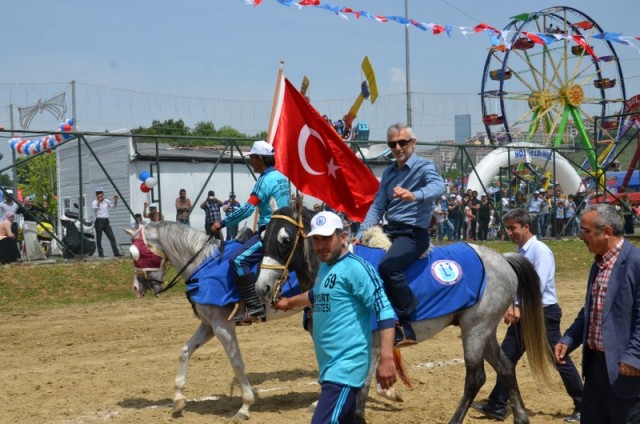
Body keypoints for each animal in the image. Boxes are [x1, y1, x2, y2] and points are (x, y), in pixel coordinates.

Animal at [252, 206, 552, 424]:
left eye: (285, 240)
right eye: (262, 238)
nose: (262, 287)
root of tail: (503, 260)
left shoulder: (372, 347)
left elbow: (358, 399)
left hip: (475, 331)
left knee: (475, 378)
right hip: (483, 330)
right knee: (506, 367)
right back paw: (521, 417)